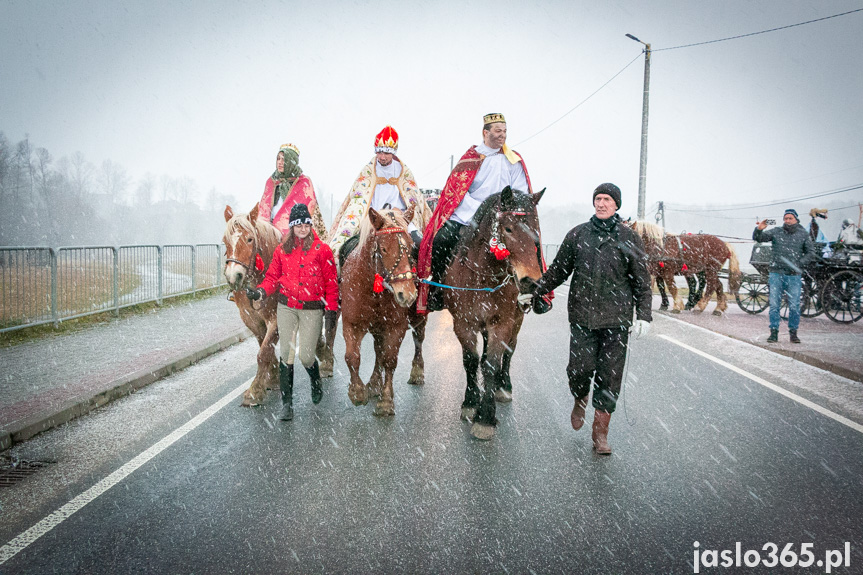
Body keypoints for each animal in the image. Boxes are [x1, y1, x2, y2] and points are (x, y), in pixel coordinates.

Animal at [221, 205, 282, 408]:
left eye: (249, 239)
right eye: (225, 241)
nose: (234, 276)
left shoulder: (276, 318)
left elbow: (263, 352)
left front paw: (254, 391)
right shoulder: (251, 319)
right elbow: (265, 347)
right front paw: (272, 379)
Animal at [340, 205, 428, 416]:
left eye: (411, 246)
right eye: (384, 248)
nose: (407, 294)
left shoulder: (395, 326)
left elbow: (389, 359)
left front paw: (386, 401)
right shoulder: (351, 323)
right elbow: (352, 357)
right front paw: (357, 392)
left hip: (417, 319)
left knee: (418, 338)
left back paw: (417, 372)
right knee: (377, 349)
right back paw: (373, 384)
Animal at [442, 186, 544, 440]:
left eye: (536, 229)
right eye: (508, 228)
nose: (531, 282)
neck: (482, 278)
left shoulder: (502, 323)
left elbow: (492, 364)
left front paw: (485, 418)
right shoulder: (463, 323)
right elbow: (471, 360)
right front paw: (471, 403)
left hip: (516, 320)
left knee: (509, 351)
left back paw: (503, 387)